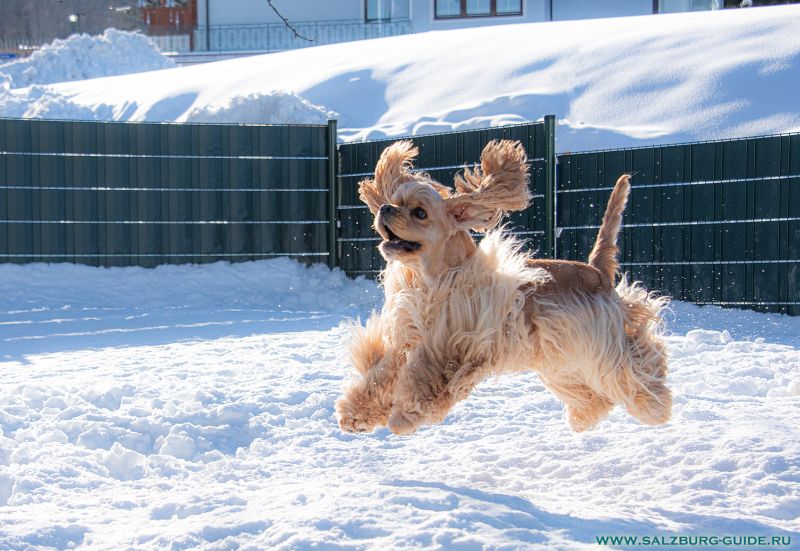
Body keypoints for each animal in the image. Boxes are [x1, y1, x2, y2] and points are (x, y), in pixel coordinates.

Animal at [334, 139, 672, 436]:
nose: (385, 209)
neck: (435, 278)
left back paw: (656, 406)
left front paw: (405, 416)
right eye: (395, 201)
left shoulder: (460, 340)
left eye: (420, 212)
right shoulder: (409, 337)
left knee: (638, 364)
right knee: (595, 396)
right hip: (561, 360)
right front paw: (356, 413)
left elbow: (427, 379)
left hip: (604, 347)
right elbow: (382, 374)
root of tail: (597, 270)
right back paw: (585, 418)